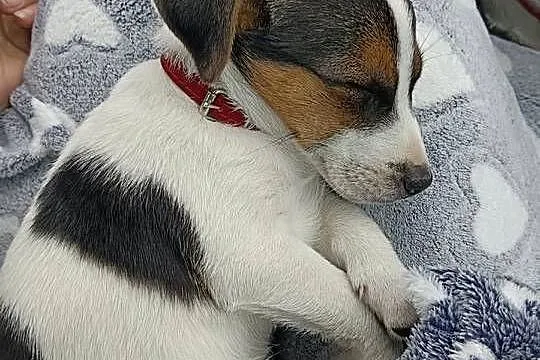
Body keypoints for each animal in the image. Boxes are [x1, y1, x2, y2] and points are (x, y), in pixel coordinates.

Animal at [0, 0, 430, 360]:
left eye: (414, 83)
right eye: (355, 87)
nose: (422, 181)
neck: (226, 112)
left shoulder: (309, 205)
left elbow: (356, 225)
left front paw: (400, 291)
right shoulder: (251, 255)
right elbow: (344, 304)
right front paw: (380, 347)